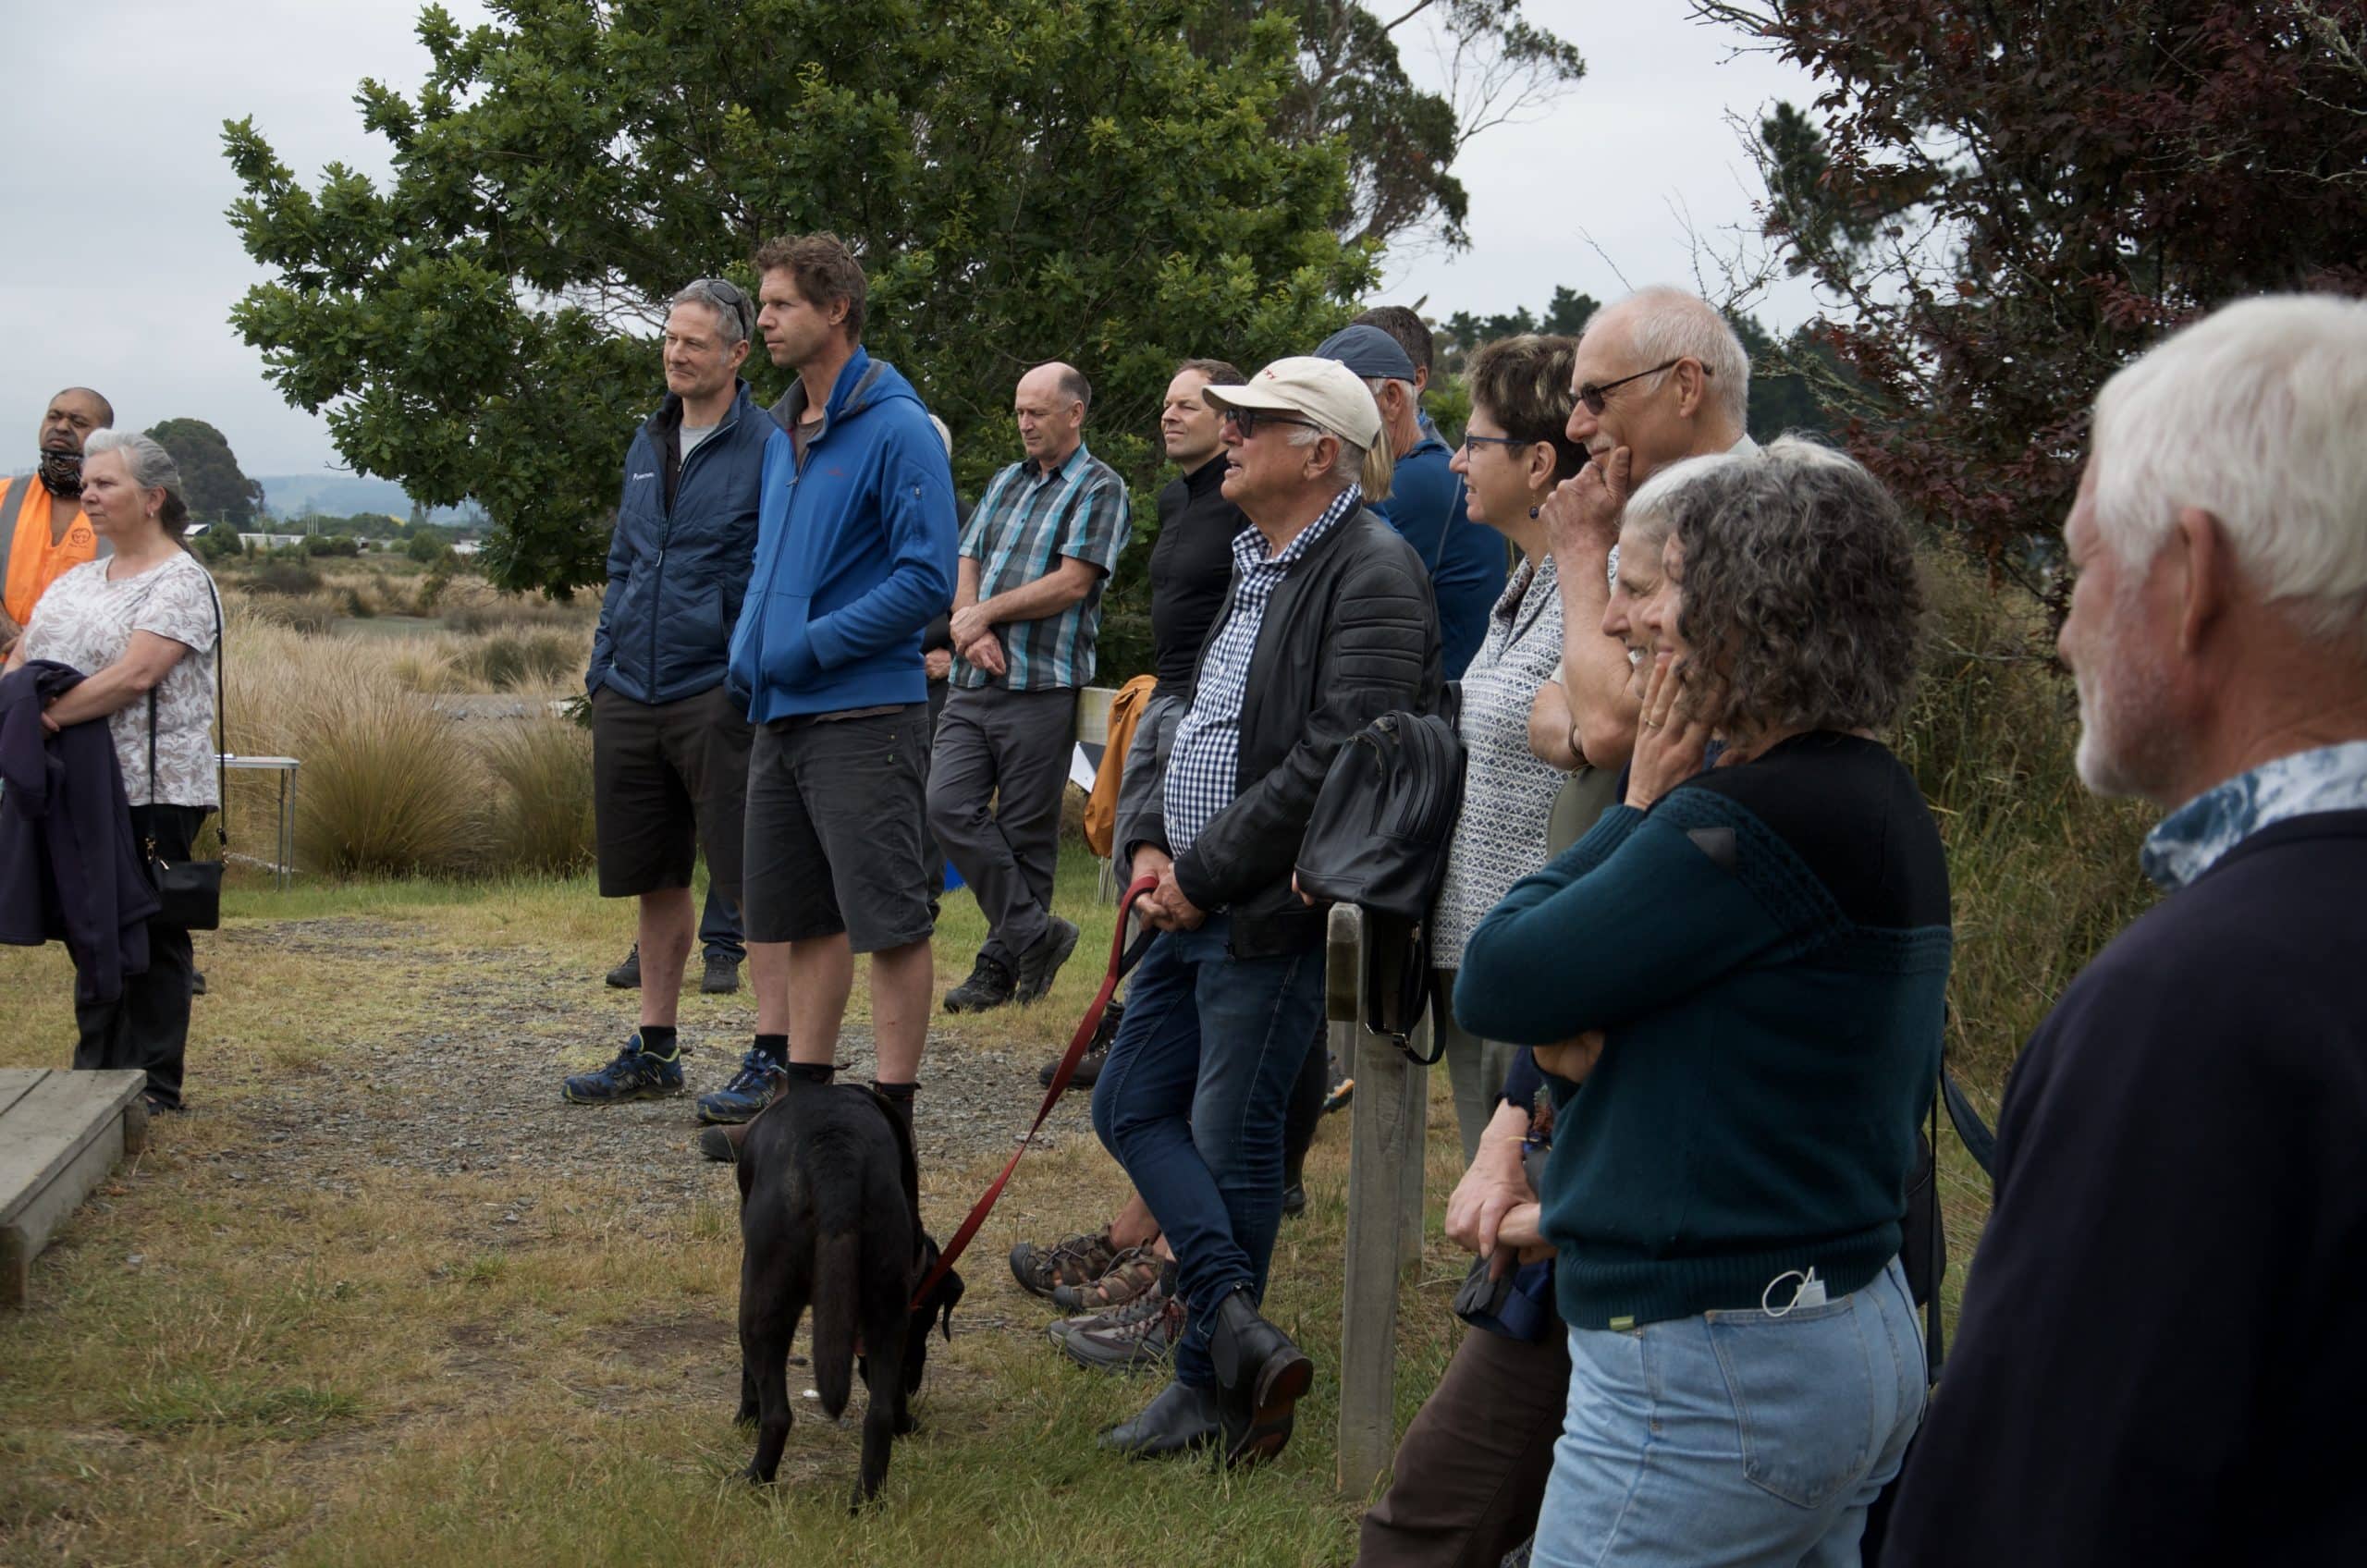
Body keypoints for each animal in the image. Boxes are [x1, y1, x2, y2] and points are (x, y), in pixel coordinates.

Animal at [733, 1080, 965, 1515]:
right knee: (879, 1416)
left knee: (779, 1415)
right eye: (926, 1320)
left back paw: (753, 1478)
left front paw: (744, 1417)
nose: (913, 1381)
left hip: (761, 1298)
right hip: (885, 1301)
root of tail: (836, 1157)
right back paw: (867, 1503)